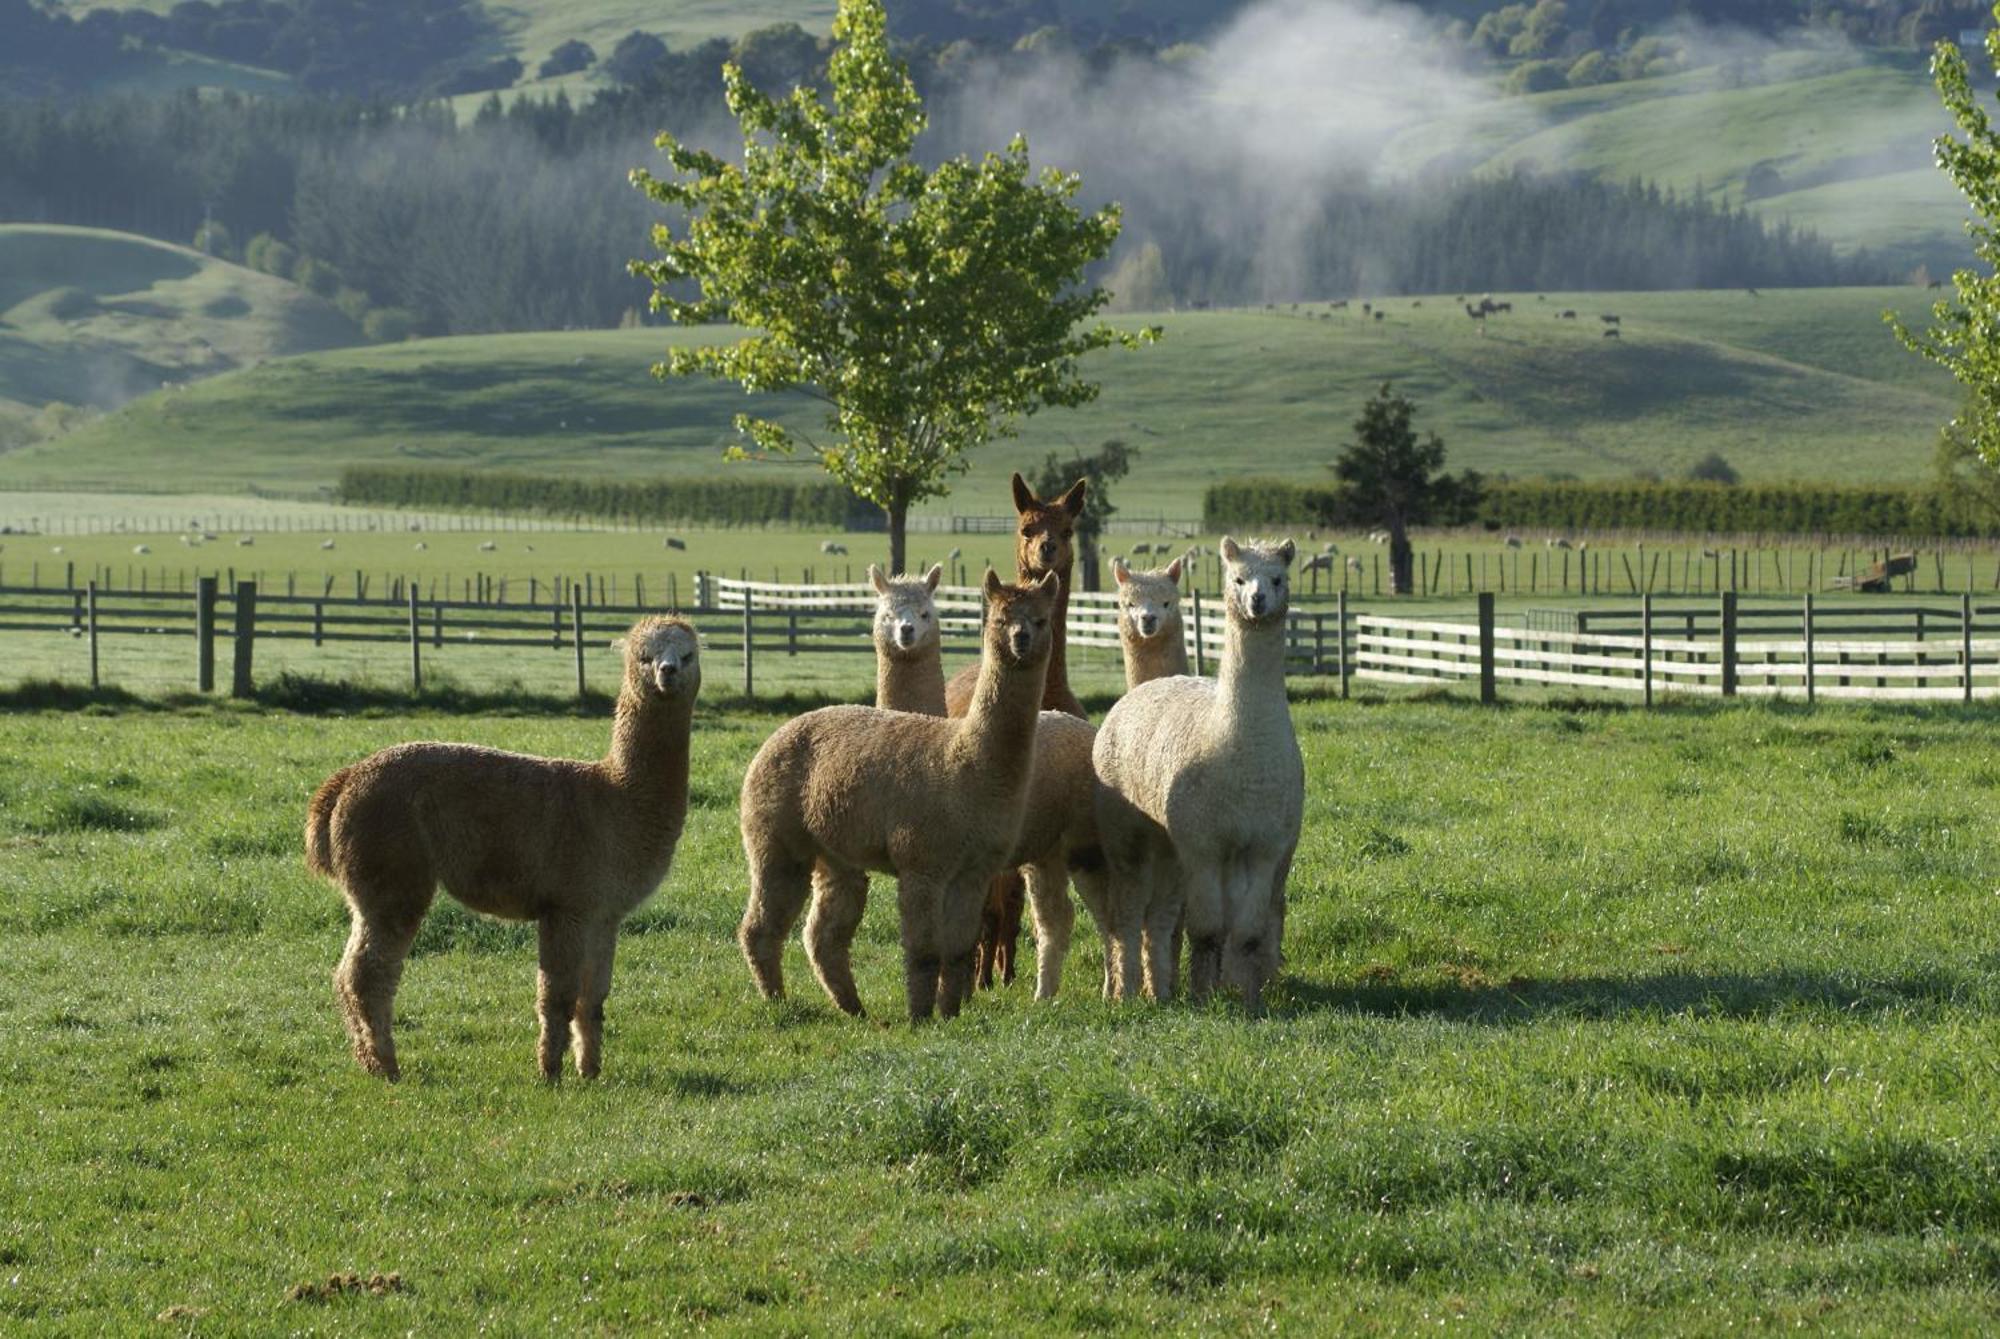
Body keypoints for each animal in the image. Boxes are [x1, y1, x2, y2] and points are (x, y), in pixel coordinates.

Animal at [300, 619, 700, 1079]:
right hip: (392, 872)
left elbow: (593, 998)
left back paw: (371, 1061)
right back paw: (386, 1066)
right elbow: (557, 996)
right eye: (644, 656)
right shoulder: (565, 905)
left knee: (348, 973)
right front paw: (550, 1072)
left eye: (688, 654)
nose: (668, 671)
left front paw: (590, 1071)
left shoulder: (604, 912)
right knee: (367, 975)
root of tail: (345, 779)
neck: (618, 796)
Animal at [1104, 539, 1304, 1019]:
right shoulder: (1201, 845)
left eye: (1278, 578)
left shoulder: (1264, 846)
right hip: (1127, 836)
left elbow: (1246, 931)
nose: (1257, 600)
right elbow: (1207, 928)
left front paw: (1248, 998)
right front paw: (1201, 995)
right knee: (1129, 913)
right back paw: (1133, 989)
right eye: (1237, 577)